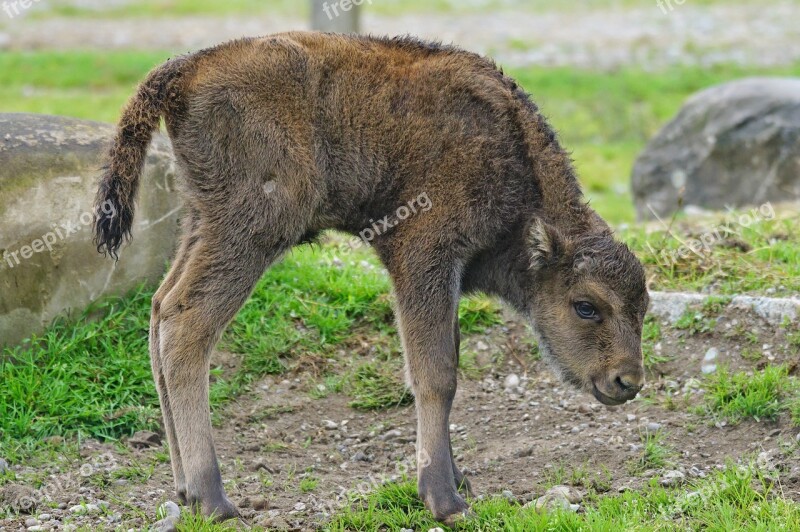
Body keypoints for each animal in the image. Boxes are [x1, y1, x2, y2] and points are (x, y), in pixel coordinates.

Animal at [95, 32, 648, 524]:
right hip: (250, 231)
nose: (627, 381)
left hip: (201, 222)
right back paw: (214, 500)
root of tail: (187, 67)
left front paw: (458, 478)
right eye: (586, 305)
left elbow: (446, 361)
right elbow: (436, 374)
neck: (509, 152)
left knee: (161, 308)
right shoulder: (423, 256)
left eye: (642, 307)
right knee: (188, 327)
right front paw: (445, 499)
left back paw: (184, 490)